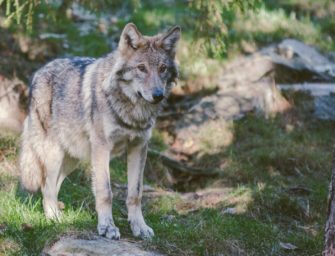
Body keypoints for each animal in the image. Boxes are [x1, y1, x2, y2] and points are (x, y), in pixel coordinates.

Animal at [18, 22, 181, 240]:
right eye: (141, 68)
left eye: (162, 69)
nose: (158, 95)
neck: (133, 111)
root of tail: (38, 72)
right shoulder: (103, 148)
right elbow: (105, 192)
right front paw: (107, 227)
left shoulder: (139, 147)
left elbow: (135, 193)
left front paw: (139, 227)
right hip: (54, 154)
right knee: (46, 186)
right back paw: (54, 219)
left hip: (73, 159)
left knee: (54, 185)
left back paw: (61, 216)